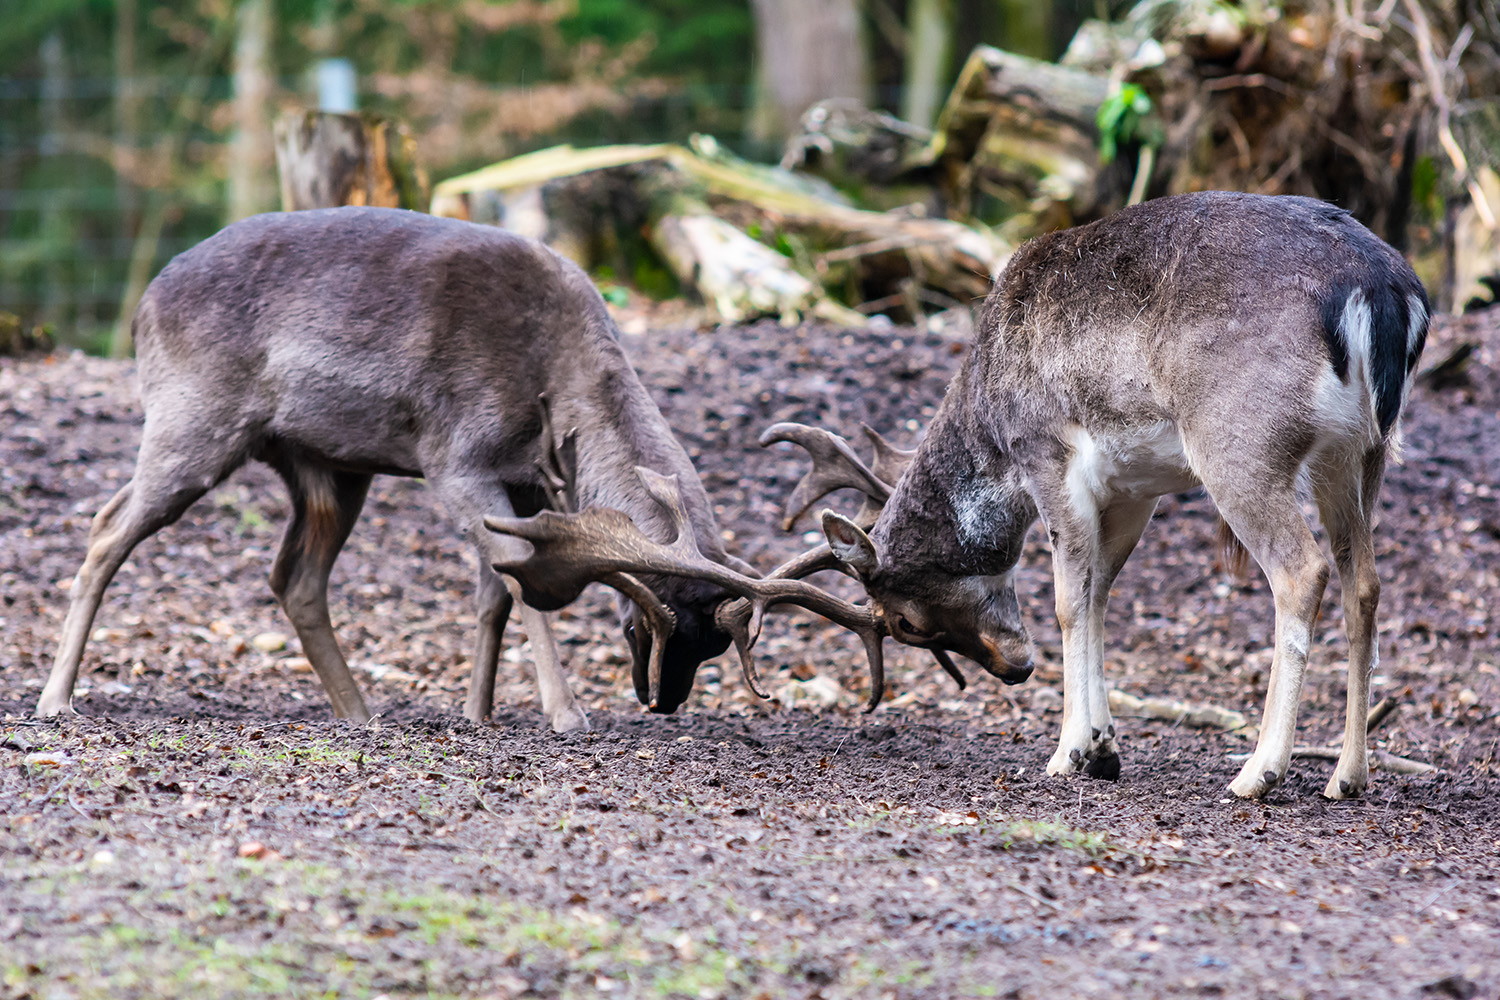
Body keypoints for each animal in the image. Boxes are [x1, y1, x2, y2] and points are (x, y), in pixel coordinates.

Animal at [36, 206, 756, 731]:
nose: (661, 701)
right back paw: (55, 700)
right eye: (652, 621)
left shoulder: (525, 482)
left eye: (714, 646)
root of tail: (142, 307)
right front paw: (565, 713)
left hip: (327, 468)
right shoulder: (455, 458)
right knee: (106, 527)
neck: (553, 385)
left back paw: (359, 714)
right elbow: (520, 581)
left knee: (295, 579)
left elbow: (497, 591)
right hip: (191, 421)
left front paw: (478, 712)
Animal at [489, 191, 1428, 803]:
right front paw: (1104, 747)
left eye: (900, 622)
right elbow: (1099, 593)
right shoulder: (1136, 489)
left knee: (1302, 571)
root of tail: (1387, 294)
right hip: (1360, 453)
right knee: (1366, 580)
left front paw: (1069, 752)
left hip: (1239, 440)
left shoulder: (1051, 448)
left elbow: (1067, 598)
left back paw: (1258, 772)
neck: (988, 414)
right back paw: (1348, 775)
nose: (1012, 671)